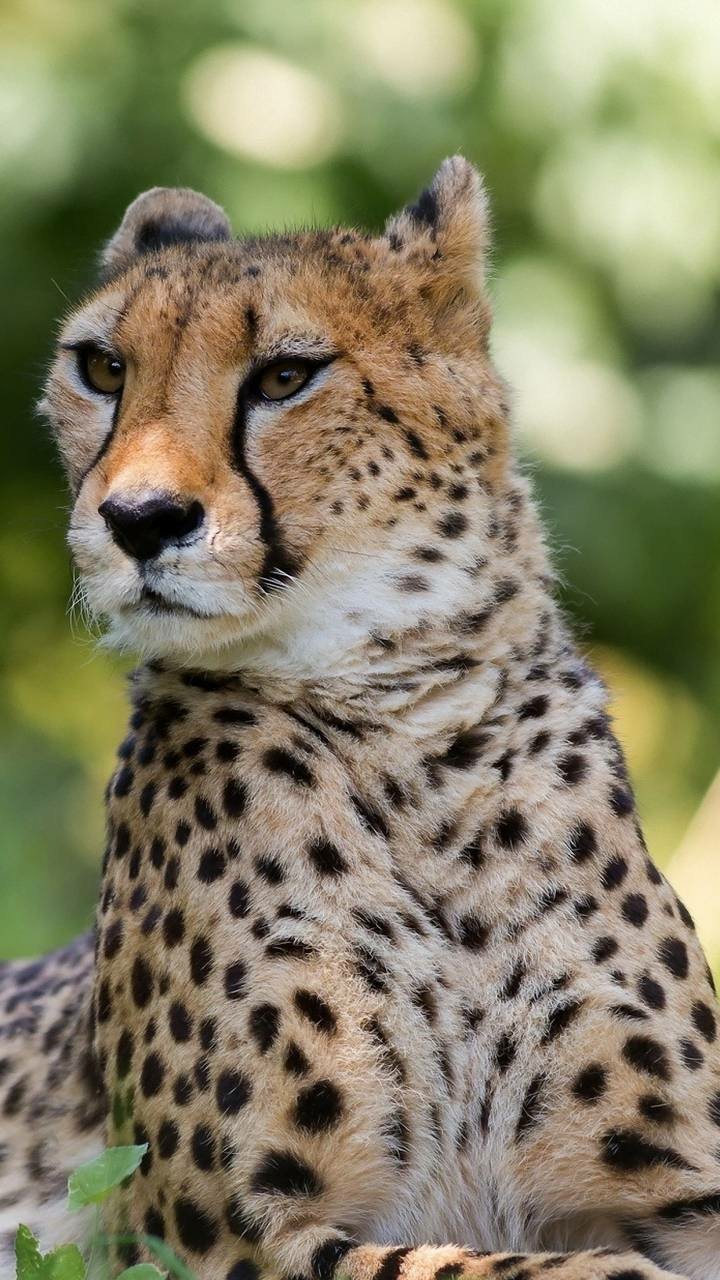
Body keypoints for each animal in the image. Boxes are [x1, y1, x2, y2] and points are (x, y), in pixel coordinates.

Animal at [2, 156, 719, 1280]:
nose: (139, 521)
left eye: (285, 377)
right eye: (103, 367)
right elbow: (502, 1264)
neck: (411, 733)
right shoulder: (213, 1231)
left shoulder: (686, 1182)